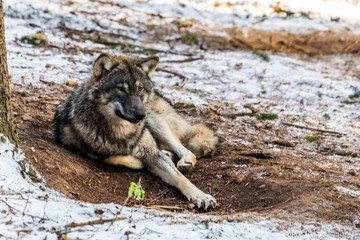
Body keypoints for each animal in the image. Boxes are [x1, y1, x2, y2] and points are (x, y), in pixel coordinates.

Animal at [54, 53, 217, 210]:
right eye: (121, 88)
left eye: (140, 88)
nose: (141, 115)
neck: (121, 131)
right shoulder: (85, 149)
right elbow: (115, 158)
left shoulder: (151, 153)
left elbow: (179, 178)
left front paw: (202, 197)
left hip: (155, 121)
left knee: (187, 150)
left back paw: (183, 161)